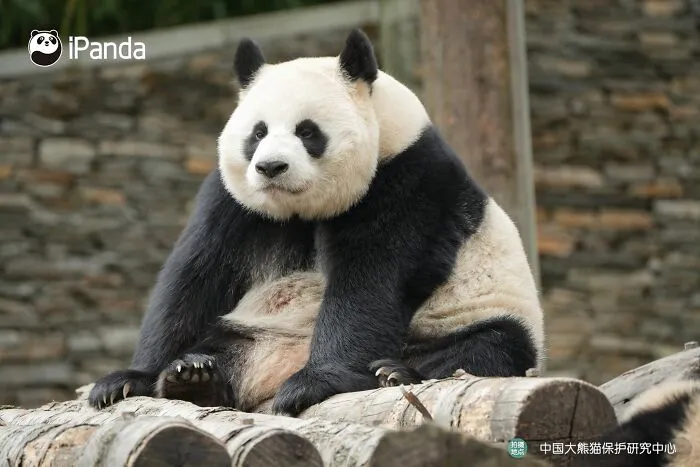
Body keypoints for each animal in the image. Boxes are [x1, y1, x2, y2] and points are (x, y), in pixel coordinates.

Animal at [88, 29, 545, 416]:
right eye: (257, 132)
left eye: (307, 132)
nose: (271, 167)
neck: (300, 210)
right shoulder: (232, 201)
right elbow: (196, 274)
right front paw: (131, 379)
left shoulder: (405, 181)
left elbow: (370, 280)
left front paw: (314, 383)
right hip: (256, 334)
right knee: (226, 345)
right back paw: (197, 379)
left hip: (477, 314)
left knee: (489, 346)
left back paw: (395, 372)